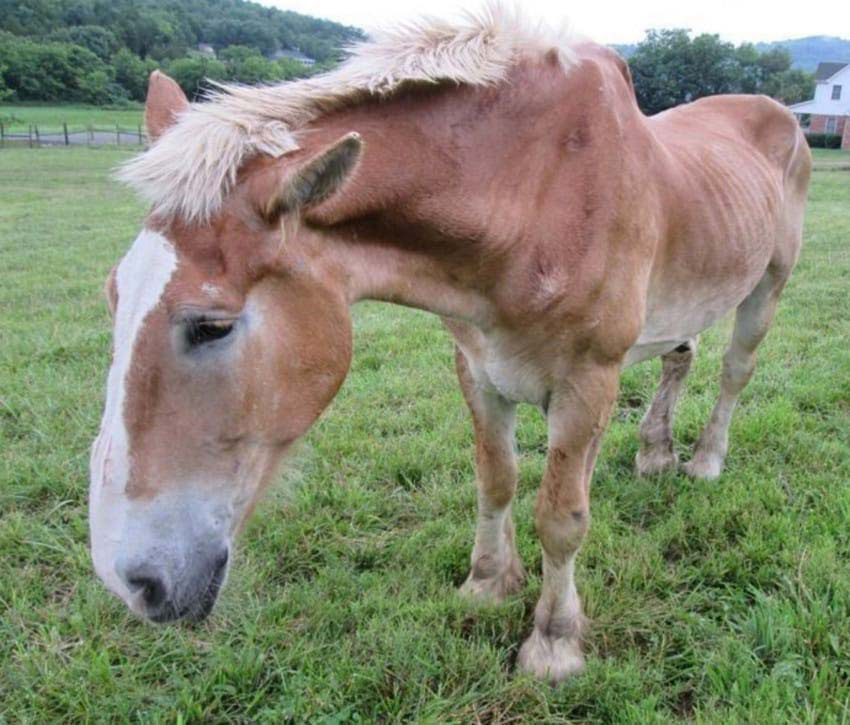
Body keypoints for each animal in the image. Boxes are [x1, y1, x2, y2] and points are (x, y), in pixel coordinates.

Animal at [88, 5, 808, 680]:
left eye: (211, 325)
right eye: (114, 296)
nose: (131, 581)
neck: (536, 197)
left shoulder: (587, 381)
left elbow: (562, 516)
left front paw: (554, 640)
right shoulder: (478, 367)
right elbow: (496, 479)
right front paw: (489, 583)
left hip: (767, 286)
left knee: (734, 372)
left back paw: (704, 460)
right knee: (680, 356)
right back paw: (655, 452)